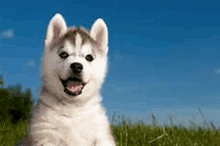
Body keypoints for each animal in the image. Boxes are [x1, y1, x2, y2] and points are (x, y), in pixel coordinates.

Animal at [20, 13, 116, 145]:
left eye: (89, 57)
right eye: (63, 54)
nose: (76, 66)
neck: (72, 109)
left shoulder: (101, 135)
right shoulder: (46, 136)